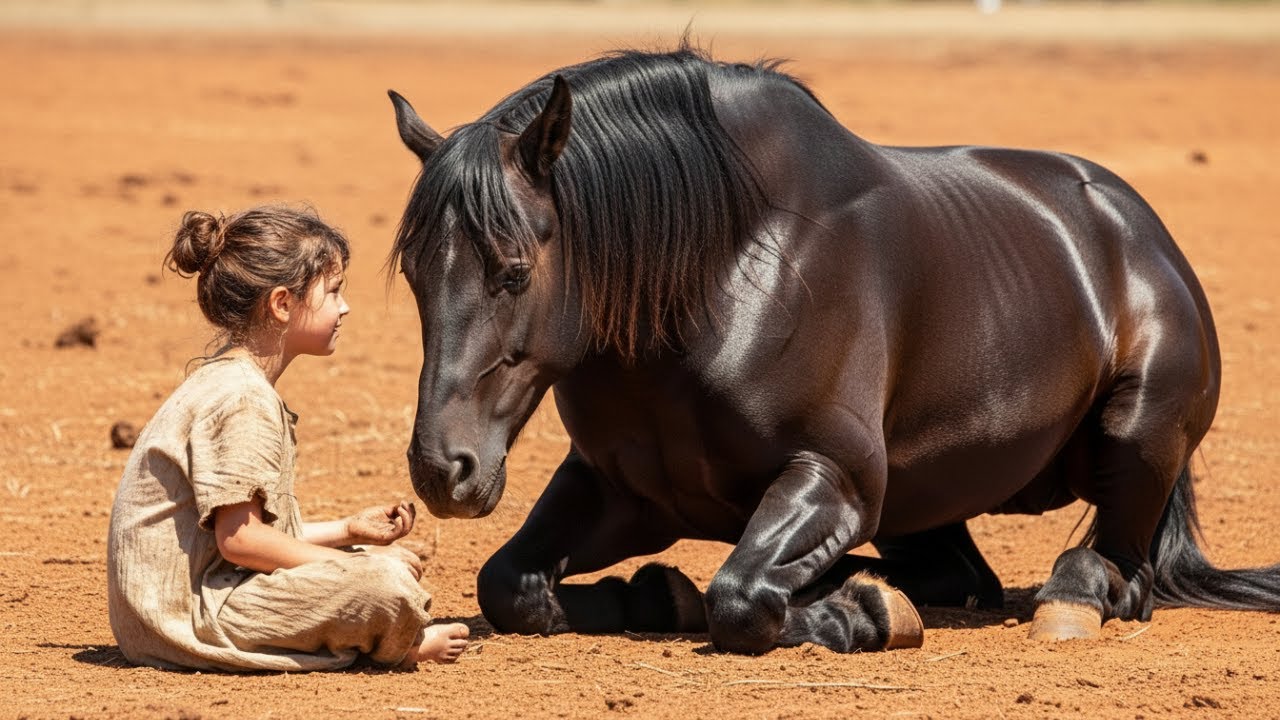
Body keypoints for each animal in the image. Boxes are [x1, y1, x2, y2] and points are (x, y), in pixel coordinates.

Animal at [385, 46, 1280, 654]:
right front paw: (658, 596)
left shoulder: (837, 477)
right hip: (927, 502)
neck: (721, 275)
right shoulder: (618, 491)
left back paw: (1059, 600)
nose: (442, 469)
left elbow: (742, 597)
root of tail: (1140, 227)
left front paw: (862, 613)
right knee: (966, 578)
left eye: (512, 270)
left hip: (1133, 439)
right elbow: (510, 587)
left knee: (1120, 573)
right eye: (416, 276)